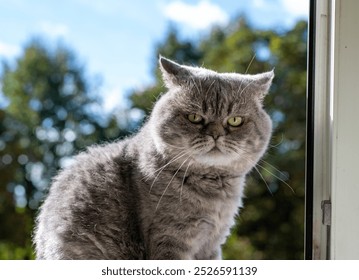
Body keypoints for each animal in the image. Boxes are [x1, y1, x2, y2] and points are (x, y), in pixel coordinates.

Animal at [34, 57, 276, 260]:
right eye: (194, 117)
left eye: (235, 120)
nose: (215, 134)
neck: (213, 194)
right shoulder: (169, 240)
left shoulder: (211, 245)